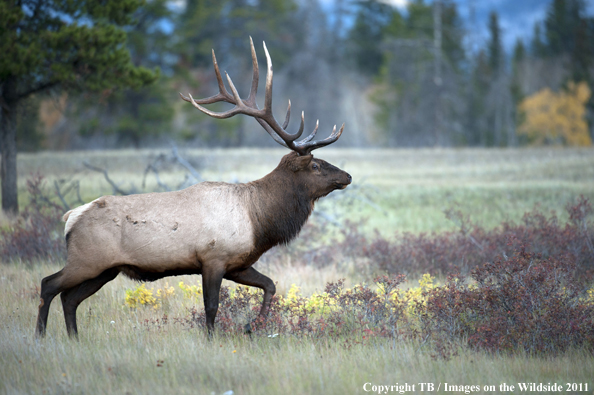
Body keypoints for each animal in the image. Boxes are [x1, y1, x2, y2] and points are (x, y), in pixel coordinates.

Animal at [34, 38, 350, 338]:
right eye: (316, 165)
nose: (346, 176)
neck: (260, 222)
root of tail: (70, 217)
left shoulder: (238, 264)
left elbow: (270, 285)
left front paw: (251, 327)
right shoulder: (213, 258)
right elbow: (211, 306)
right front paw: (213, 338)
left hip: (105, 269)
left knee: (70, 298)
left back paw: (74, 338)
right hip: (87, 260)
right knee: (49, 284)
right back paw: (40, 336)